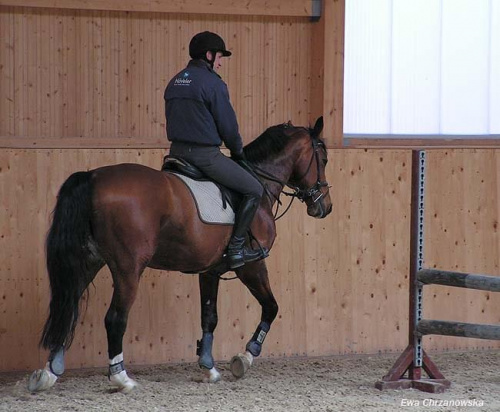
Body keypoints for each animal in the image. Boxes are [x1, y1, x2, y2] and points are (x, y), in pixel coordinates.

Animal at [28, 116, 332, 392]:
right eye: (324, 159)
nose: (324, 207)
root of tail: (92, 177)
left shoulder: (210, 271)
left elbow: (209, 317)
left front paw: (208, 367)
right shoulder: (251, 265)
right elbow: (271, 307)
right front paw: (245, 357)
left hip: (89, 261)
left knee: (68, 308)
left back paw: (49, 373)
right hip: (128, 268)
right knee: (114, 319)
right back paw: (121, 378)